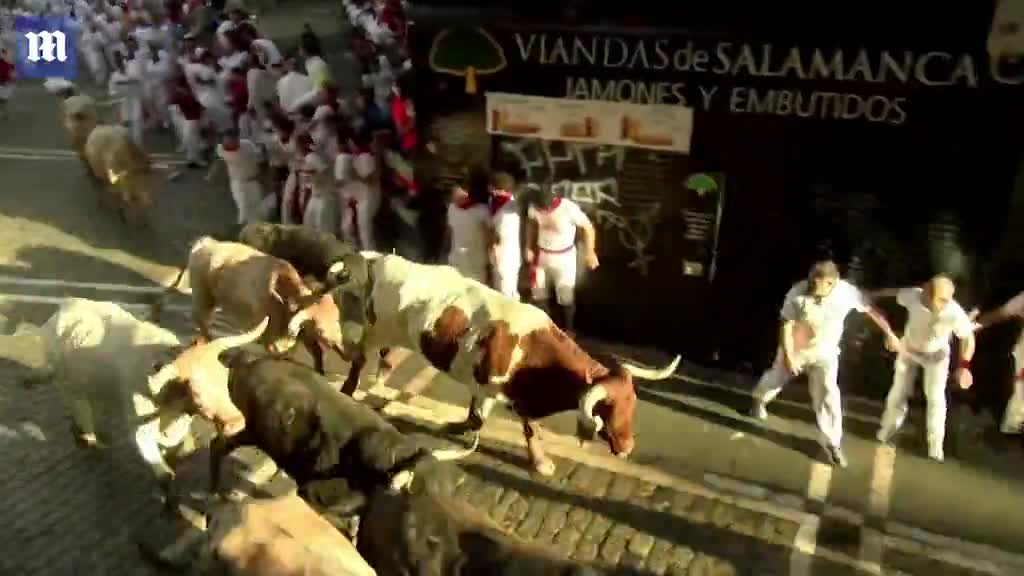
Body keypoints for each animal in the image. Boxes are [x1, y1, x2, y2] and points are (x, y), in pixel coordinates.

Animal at [153, 234, 348, 377]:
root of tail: (205, 243)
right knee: (201, 321)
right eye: (320, 328)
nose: (342, 350)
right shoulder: (269, 337)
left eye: (337, 318)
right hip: (203, 298)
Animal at [319, 253, 679, 473]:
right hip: (376, 330)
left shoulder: (495, 389)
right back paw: (349, 391)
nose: (628, 446)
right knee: (360, 359)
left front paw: (459, 427)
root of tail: (386, 259)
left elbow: (486, 417)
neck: (537, 355)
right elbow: (512, 425)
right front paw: (540, 462)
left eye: (633, 405)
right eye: (608, 409)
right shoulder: (496, 390)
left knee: (388, 359)